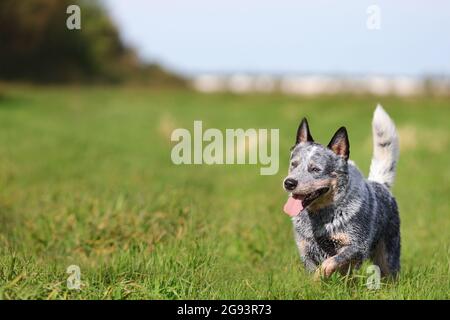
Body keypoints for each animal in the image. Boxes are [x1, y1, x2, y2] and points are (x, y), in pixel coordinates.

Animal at [284, 104, 400, 278]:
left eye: (315, 169)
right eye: (294, 164)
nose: (289, 183)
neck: (320, 216)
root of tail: (379, 184)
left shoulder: (356, 246)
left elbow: (330, 262)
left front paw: (322, 274)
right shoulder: (305, 250)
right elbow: (314, 270)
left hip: (388, 256)